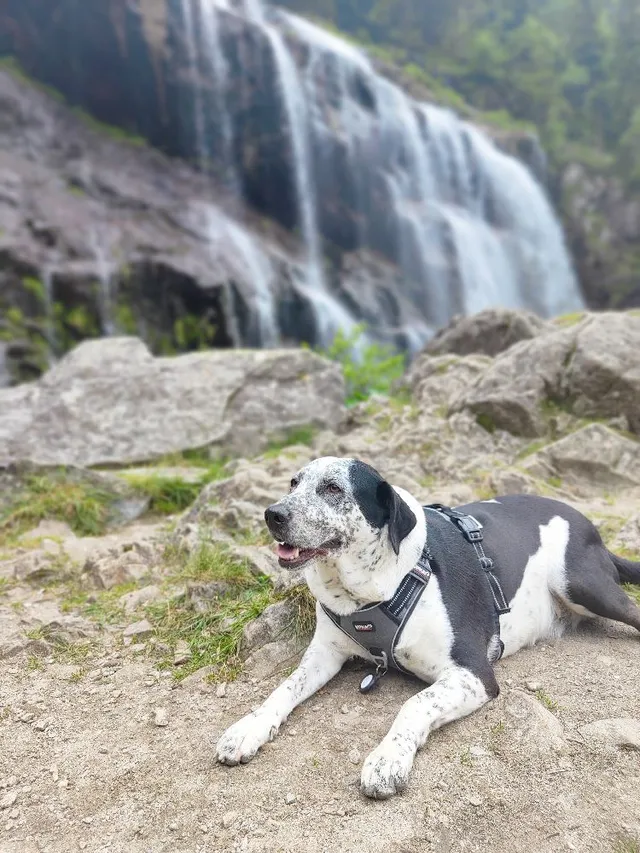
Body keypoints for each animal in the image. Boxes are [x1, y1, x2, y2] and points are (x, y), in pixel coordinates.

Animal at [215, 456, 640, 796]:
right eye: (293, 483)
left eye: (333, 488)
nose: (273, 514)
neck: (371, 589)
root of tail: (590, 526)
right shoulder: (324, 654)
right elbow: (284, 688)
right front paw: (248, 728)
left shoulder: (473, 674)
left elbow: (415, 703)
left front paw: (388, 758)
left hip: (581, 583)